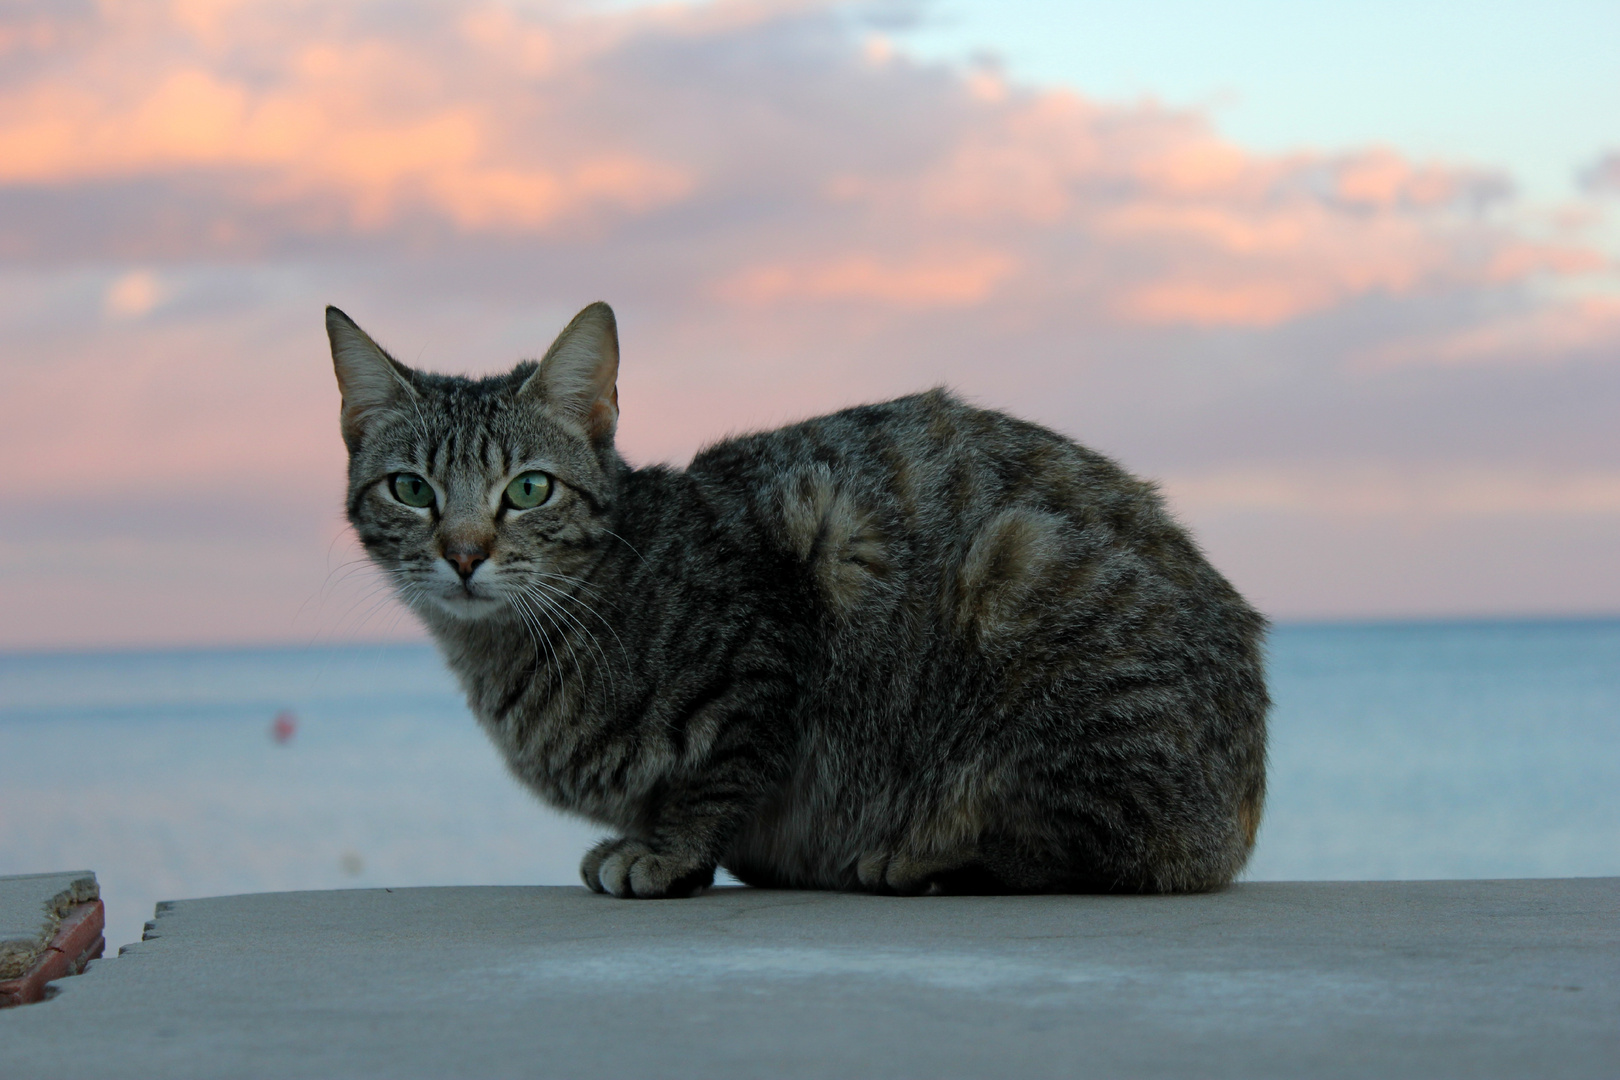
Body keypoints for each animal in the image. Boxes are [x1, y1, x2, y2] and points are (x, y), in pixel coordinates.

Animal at [325, 299, 1263, 900]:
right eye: (411, 489)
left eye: (527, 489)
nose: (464, 554)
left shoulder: (767, 645)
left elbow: (717, 778)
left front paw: (668, 854)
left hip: (1023, 572)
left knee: (1104, 851)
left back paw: (925, 860)